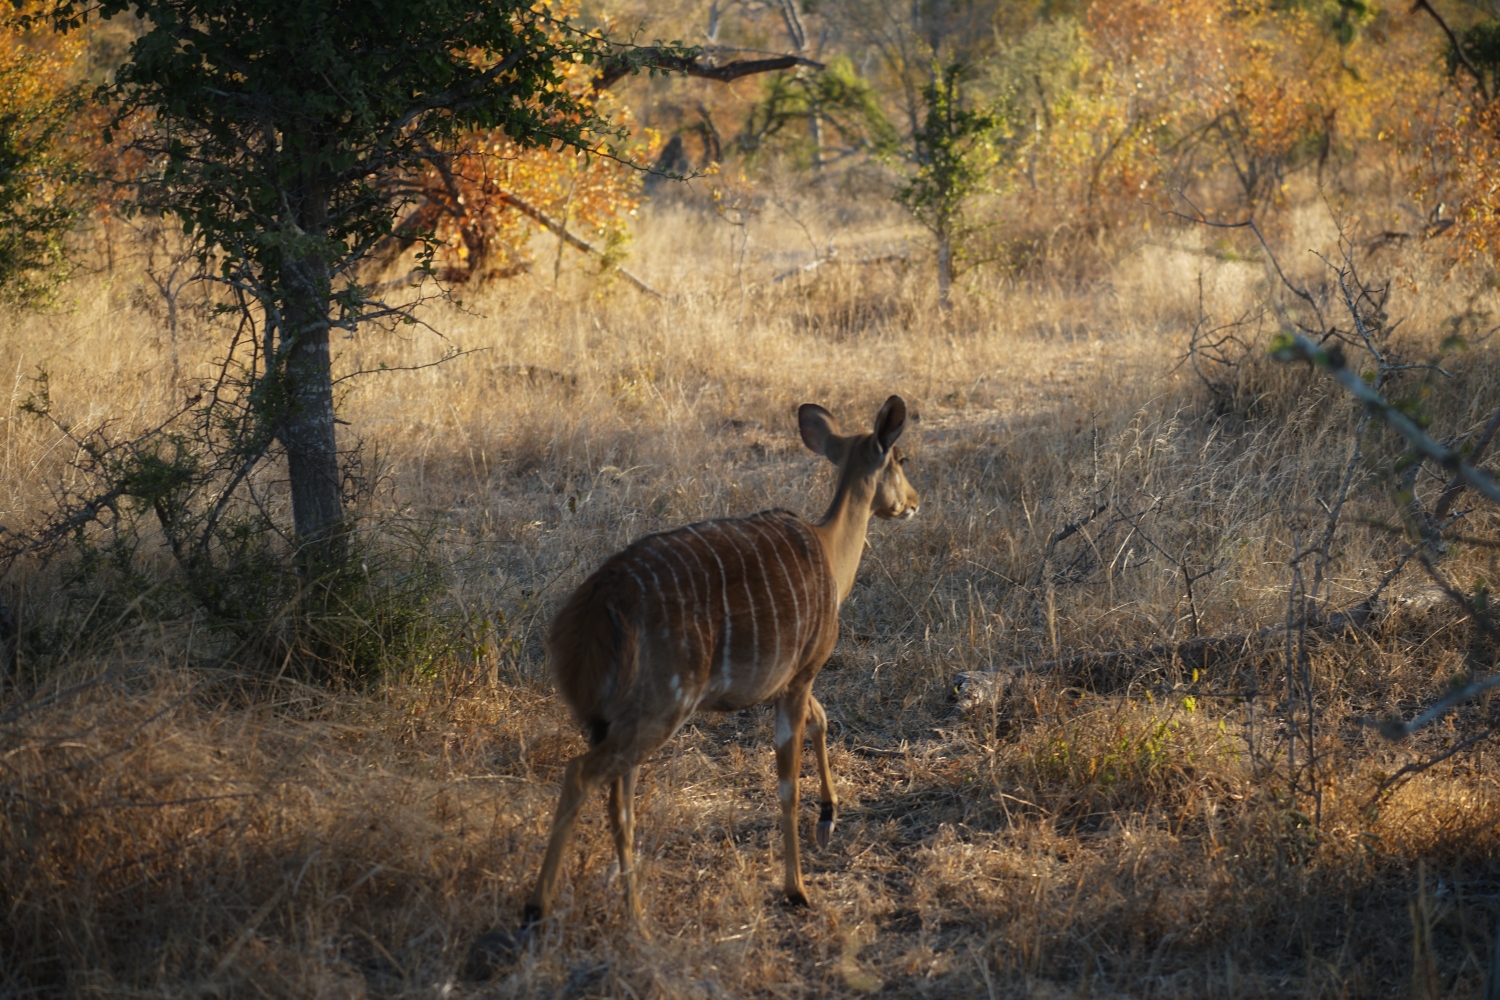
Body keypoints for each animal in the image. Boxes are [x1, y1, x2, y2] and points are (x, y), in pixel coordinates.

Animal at [522, 395, 918, 929]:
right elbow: (787, 784)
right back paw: (538, 905)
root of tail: (593, 609)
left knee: (619, 802)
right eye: (901, 459)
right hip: (661, 707)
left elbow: (822, 719)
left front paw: (829, 819)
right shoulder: (801, 675)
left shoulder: (790, 682)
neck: (830, 553)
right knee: (580, 775)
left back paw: (636, 913)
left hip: (613, 719)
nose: (914, 501)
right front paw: (797, 889)